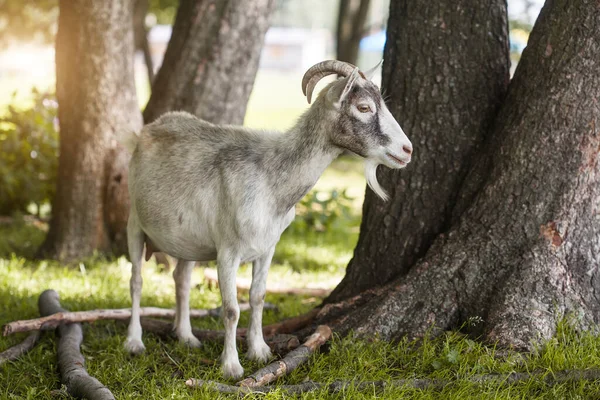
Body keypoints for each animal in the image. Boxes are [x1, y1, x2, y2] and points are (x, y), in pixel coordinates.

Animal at [122, 60, 412, 378]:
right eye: (363, 107)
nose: (407, 150)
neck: (270, 180)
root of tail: (150, 129)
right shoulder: (228, 252)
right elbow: (231, 309)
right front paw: (231, 366)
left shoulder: (267, 248)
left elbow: (257, 297)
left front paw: (260, 351)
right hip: (134, 224)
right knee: (136, 281)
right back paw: (134, 342)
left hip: (188, 242)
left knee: (181, 280)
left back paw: (187, 338)